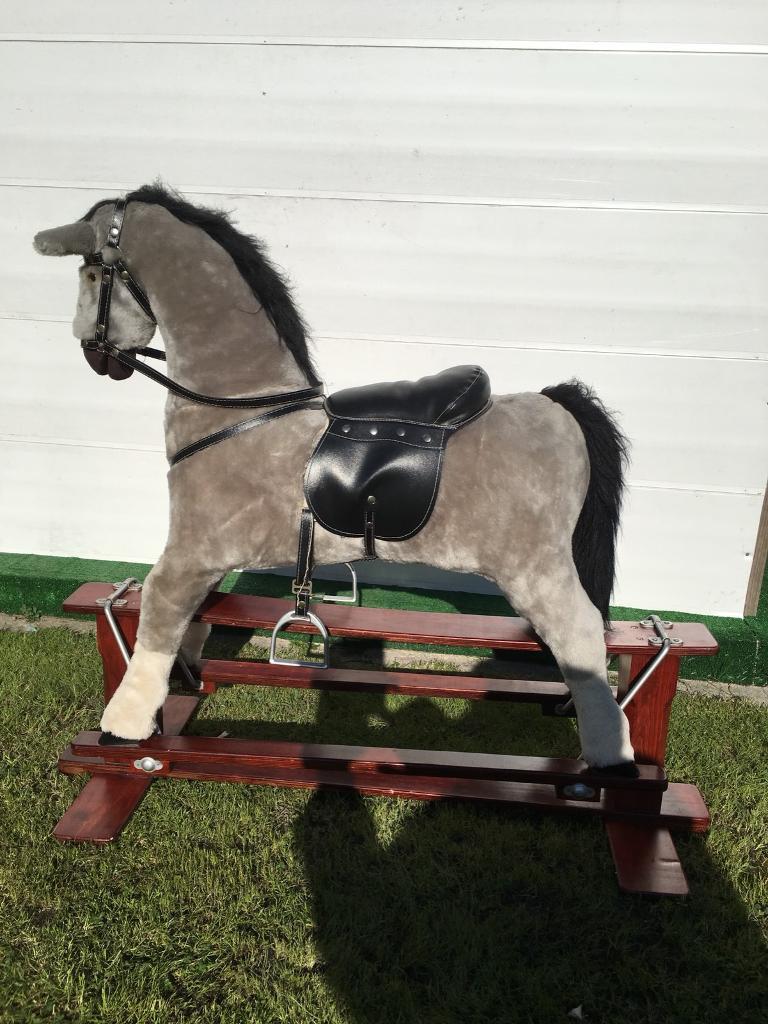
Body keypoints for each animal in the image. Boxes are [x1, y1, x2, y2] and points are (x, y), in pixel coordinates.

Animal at [34, 183, 636, 775]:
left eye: (92, 273)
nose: (93, 353)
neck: (243, 410)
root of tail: (555, 406)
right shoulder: (210, 558)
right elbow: (193, 621)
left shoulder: (192, 550)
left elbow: (158, 613)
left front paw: (124, 723)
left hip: (536, 569)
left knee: (582, 635)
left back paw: (613, 757)